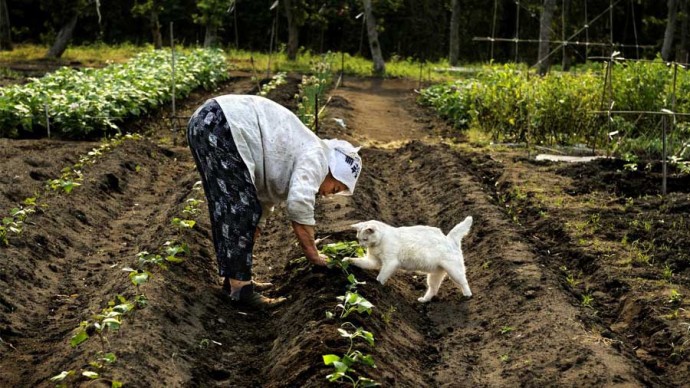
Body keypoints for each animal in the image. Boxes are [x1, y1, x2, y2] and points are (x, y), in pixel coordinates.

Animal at [342, 215, 470, 304]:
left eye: (365, 239)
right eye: (358, 239)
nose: (361, 245)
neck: (377, 244)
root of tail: (450, 239)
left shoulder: (390, 263)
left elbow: (380, 277)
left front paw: (377, 285)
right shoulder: (373, 261)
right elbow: (357, 261)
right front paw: (345, 260)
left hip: (454, 272)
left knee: (464, 282)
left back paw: (468, 296)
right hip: (435, 275)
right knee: (433, 289)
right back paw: (424, 300)